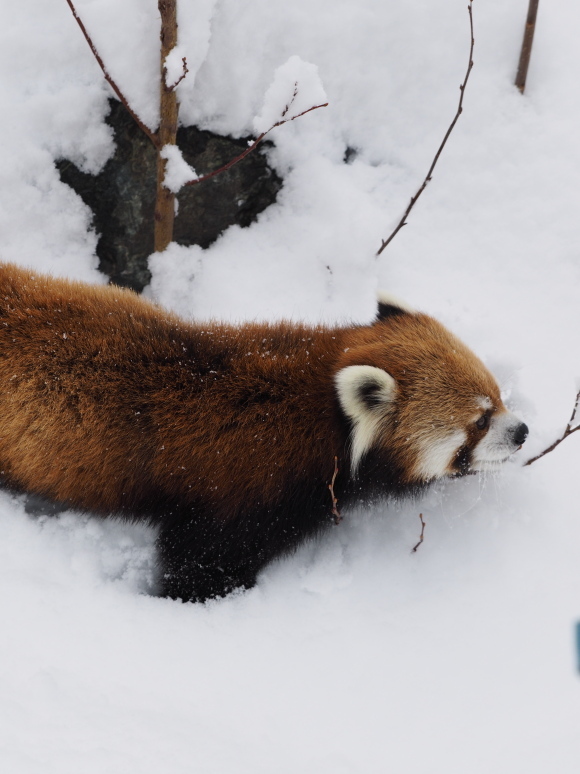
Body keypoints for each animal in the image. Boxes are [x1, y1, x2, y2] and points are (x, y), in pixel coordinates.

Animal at [0, 264, 524, 604]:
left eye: (498, 396)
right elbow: (201, 563)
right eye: (479, 422)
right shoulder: (241, 497)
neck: (319, 417)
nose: (521, 431)